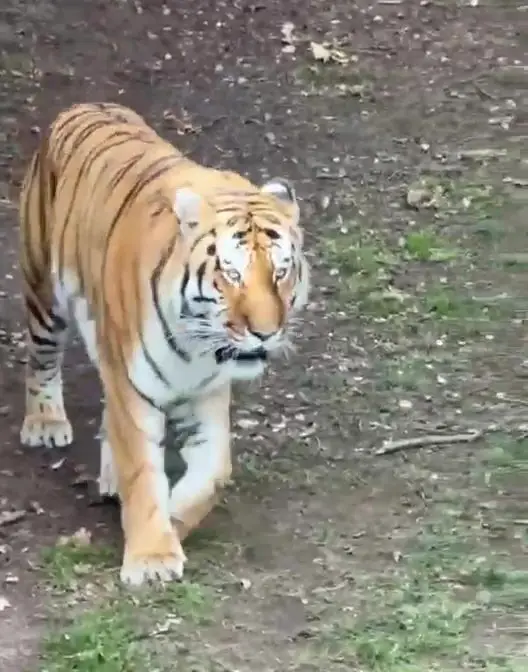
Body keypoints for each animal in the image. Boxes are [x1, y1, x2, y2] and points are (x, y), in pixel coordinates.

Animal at [18, 102, 310, 587]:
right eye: (231, 274)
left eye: (281, 272)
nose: (265, 332)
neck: (197, 346)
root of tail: (87, 104)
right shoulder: (132, 393)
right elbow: (142, 473)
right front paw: (152, 557)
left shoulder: (208, 395)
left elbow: (212, 474)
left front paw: (170, 523)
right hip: (44, 293)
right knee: (41, 359)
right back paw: (45, 421)